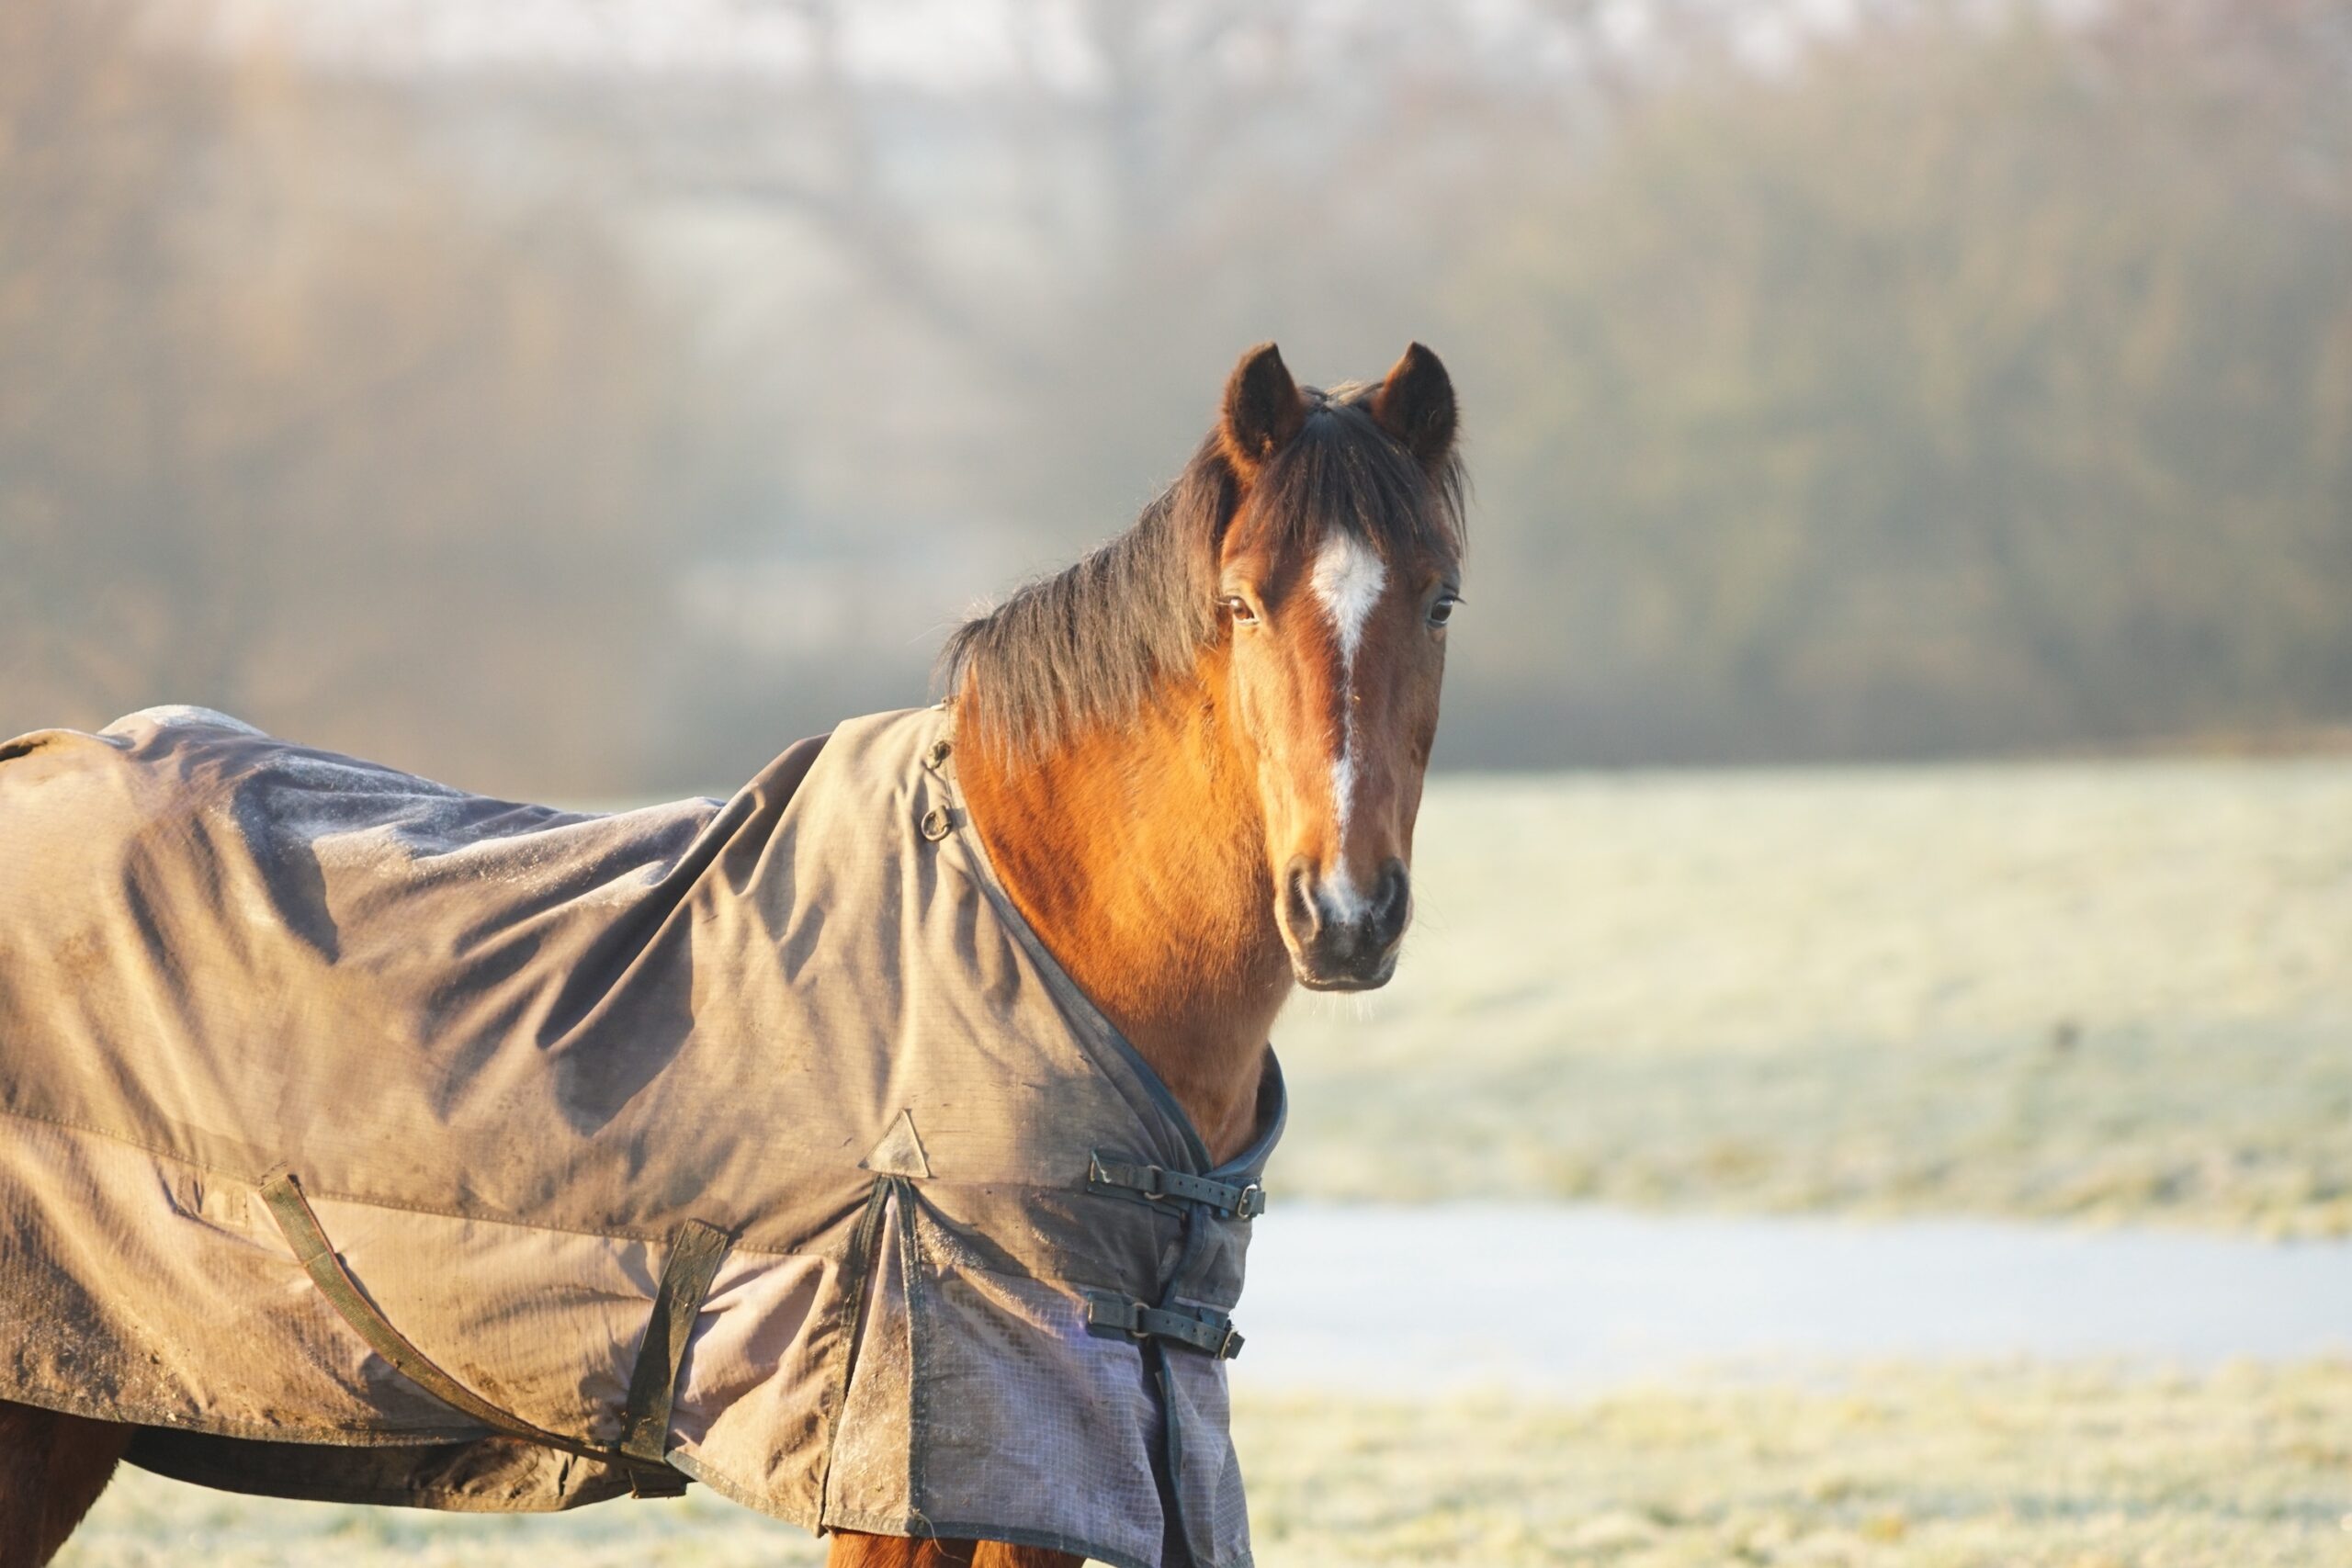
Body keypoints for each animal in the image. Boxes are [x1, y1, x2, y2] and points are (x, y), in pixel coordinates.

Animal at [0, 339, 1464, 1568]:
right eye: (1240, 603)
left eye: (1440, 599)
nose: (1343, 913)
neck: (1035, 922)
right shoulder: (921, 1464)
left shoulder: (1063, 1471)